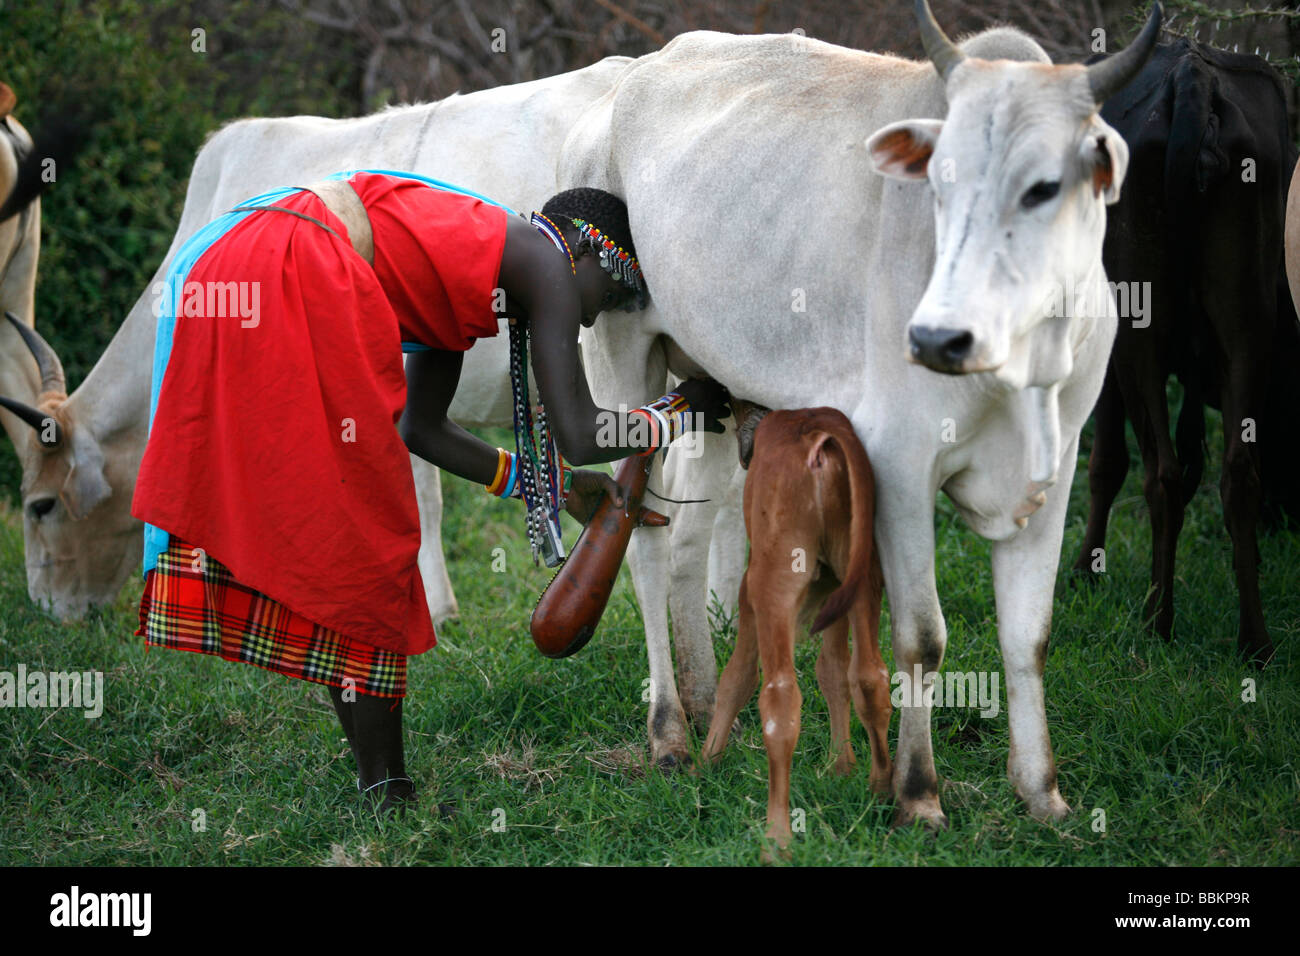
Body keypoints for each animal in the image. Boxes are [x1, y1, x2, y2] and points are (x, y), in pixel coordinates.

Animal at [701, 402, 889, 858]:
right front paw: (842, 766)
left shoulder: (749, 594)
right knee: (870, 676)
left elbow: (736, 678)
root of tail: (818, 433)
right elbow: (834, 670)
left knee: (780, 700)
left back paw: (776, 838)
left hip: (774, 583)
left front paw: (706, 762)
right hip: (862, 573)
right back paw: (882, 790)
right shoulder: (834, 592)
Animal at [1070, 36, 1297, 665]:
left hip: (1137, 324)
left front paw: (1084, 570)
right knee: (1237, 473)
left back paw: (1156, 620)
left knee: (1161, 471)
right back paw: (1254, 641)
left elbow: (1107, 460)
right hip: (1247, 317)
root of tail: (1196, 78)